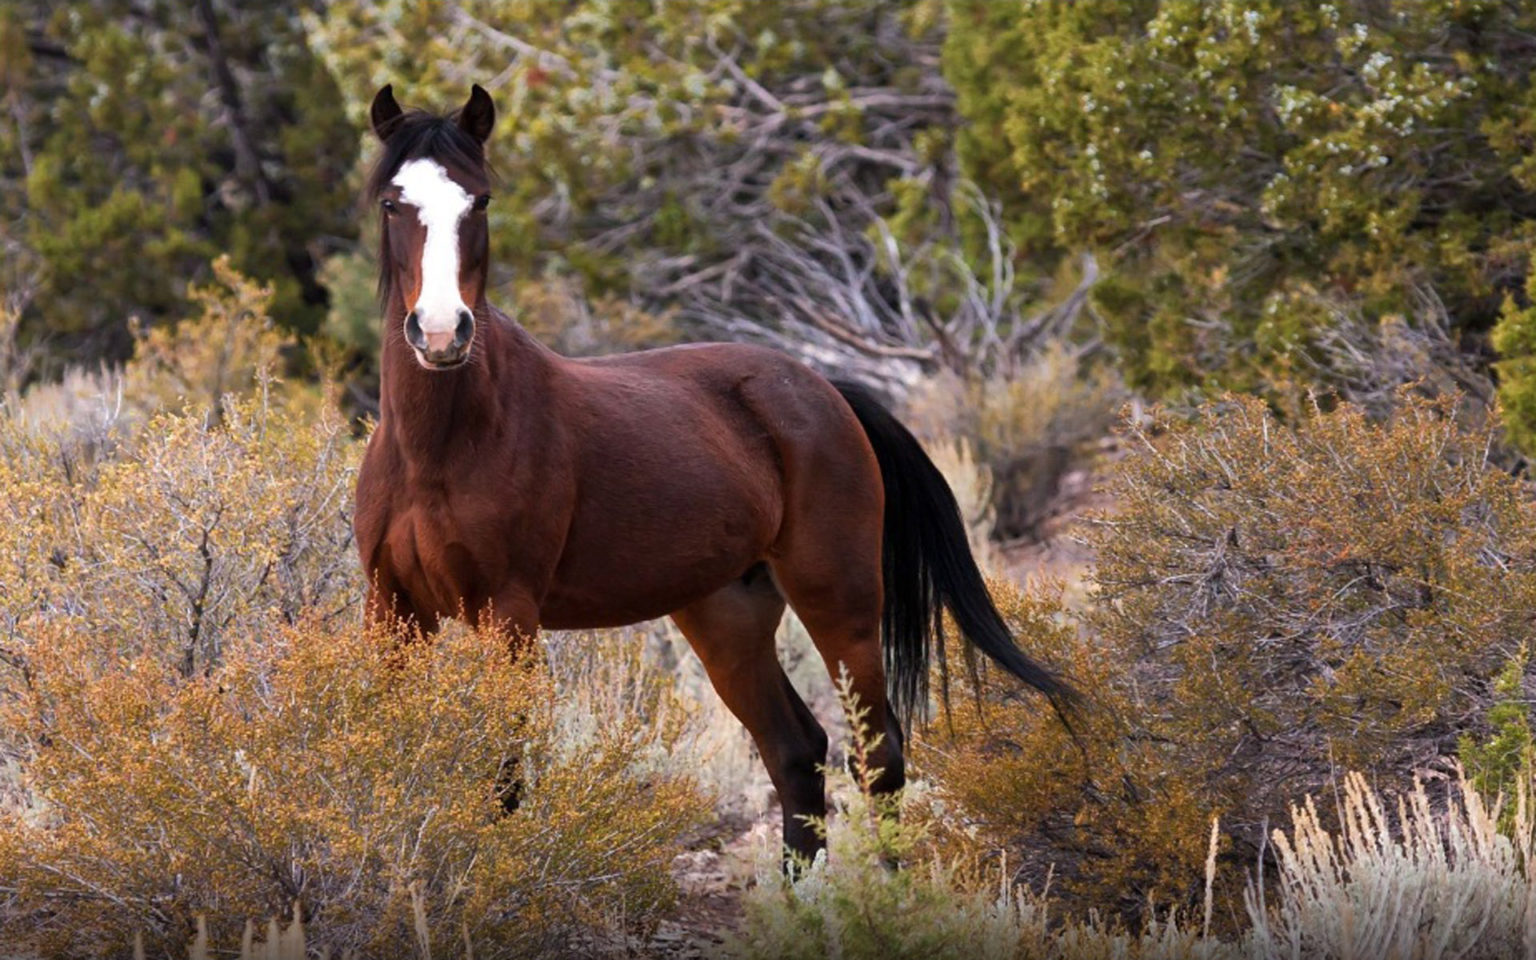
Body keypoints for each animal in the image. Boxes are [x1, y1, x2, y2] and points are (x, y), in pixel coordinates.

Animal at [353, 84, 1077, 863]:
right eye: (393, 203)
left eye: (479, 200)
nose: (440, 332)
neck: (442, 446)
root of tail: (822, 389)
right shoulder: (393, 609)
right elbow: (388, 754)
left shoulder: (508, 615)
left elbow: (503, 779)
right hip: (727, 615)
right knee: (796, 750)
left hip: (840, 601)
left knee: (878, 754)